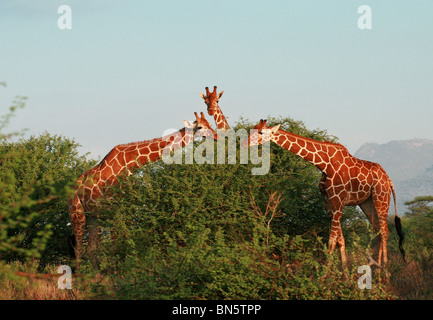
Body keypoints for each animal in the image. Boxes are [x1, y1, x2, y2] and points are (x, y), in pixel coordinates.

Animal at [69, 112, 218, 268]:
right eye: (200, 127)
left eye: (210, 124)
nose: (216, 136)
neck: (130, 163)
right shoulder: (115, 209)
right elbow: (117, 245)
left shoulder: (129, 208)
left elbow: (125, 243)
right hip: (77, 212)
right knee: (78, 249)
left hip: (94, 216)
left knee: (91, 248)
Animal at [243, 119, 404, 264]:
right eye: (252, 129)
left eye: (261, 132)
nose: (245, 143)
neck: (325, 164)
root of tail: (389, 180)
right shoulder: (328, 202)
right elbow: (340, 240)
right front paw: (343, 274)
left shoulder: (338, 201)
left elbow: (332, 240)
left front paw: (326, 276)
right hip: (366, 202)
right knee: (378, 230)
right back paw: (377, 271)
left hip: (381, 198)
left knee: (385, 231)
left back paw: (385, 272)